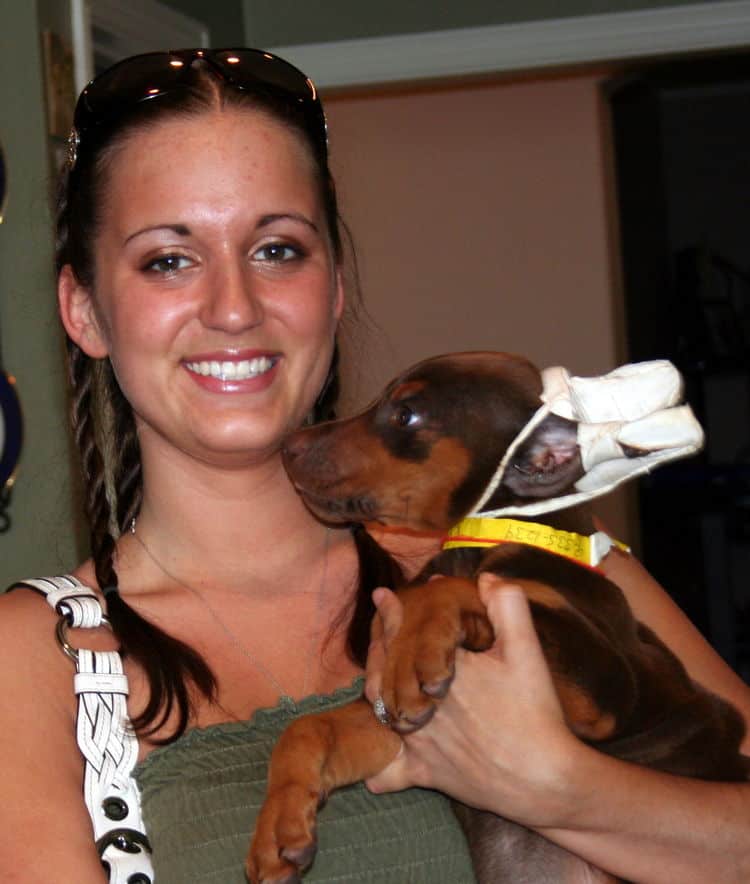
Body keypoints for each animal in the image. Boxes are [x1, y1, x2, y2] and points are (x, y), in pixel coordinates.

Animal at [248, 352, 750, 884]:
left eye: (406, 414)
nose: (286, 447)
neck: (483, 538)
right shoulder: (400, 732)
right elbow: (307, 729)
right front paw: (278, 827)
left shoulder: (614, 691)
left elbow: (466, 588)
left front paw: (415, 648)